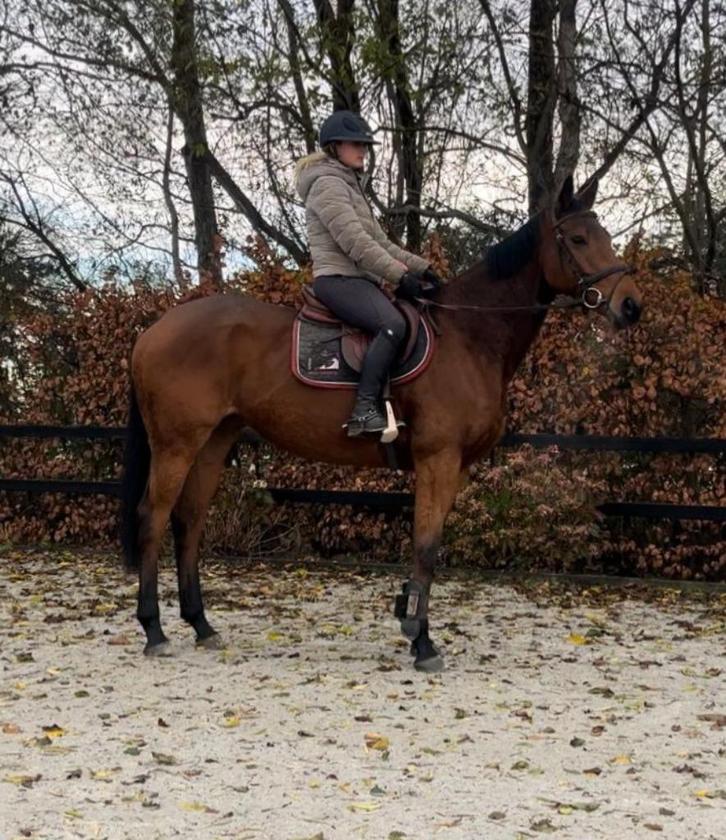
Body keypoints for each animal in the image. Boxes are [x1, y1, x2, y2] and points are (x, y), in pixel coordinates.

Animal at [120, 175, 642, 672]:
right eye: (578, 238)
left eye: (605, 235)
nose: (631, 306)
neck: (467, 337)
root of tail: (152, 330)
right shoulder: (438, 460)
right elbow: (427, 547)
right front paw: (422, 641)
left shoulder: (454, 468)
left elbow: (427, 545)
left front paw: (410, 620)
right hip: (176, 444)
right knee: (153, 517)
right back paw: (154, 630)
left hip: (214, 441)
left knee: (189, 521)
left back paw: (201, 625)